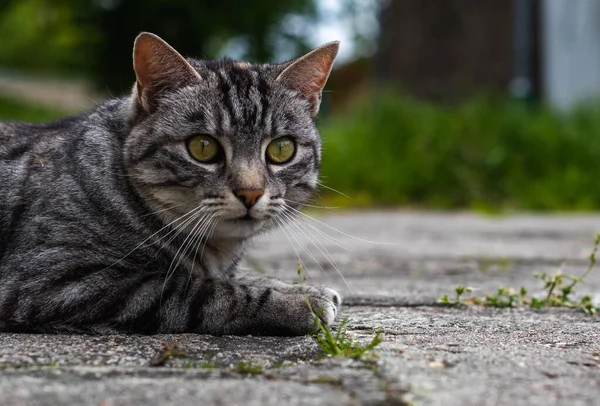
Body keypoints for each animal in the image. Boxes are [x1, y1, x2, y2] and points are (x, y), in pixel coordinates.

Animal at [0, 32, 340, 336]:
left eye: (281, 149)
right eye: (202, 147)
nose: (250, 192)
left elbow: (240, 279)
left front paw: (299, 288)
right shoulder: (54, 281)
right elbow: (205, 292)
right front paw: (297, 303)